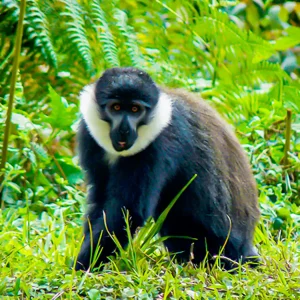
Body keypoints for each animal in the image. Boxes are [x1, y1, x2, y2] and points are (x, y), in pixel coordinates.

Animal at [75, 67, 260, 270]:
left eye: (135, 109)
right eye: (115, 107)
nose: (124, 130)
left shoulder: (160, 143)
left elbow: (128, 211)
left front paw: (82, 267)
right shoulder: (89, 136)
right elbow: (99, 199)